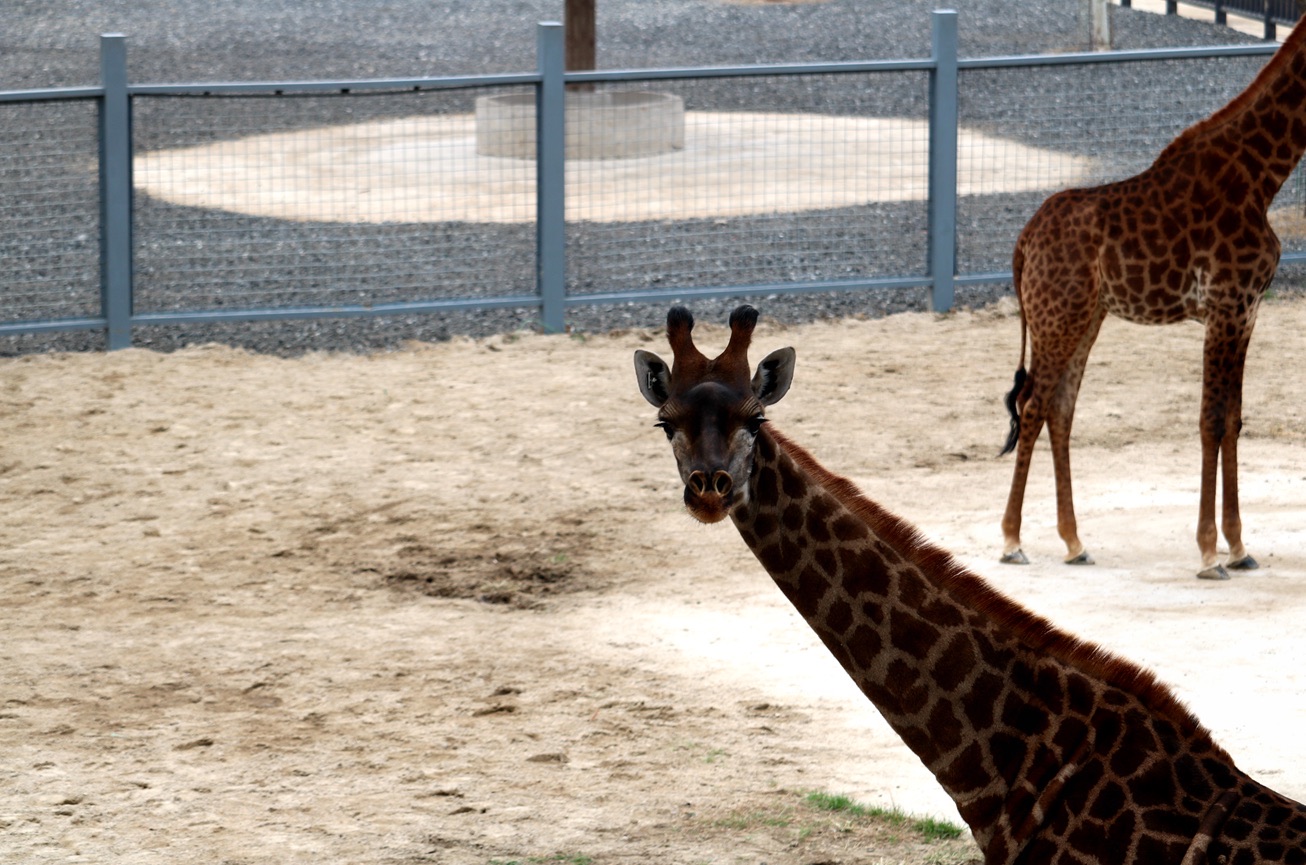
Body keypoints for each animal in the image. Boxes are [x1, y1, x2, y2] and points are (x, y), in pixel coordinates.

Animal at [992, 15, 1306, 582]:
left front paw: (1238, 547)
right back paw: (1011, 541)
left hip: (1085, 317)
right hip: (1056, 319)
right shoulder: (1225, 308)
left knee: (1060, 408)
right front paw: (1209, 554)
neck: (1260, 179)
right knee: (1033, 406)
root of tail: (1023, 242)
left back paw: (1075, 542)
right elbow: (1210, 421)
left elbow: (1233, 420)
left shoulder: (1247, 312)